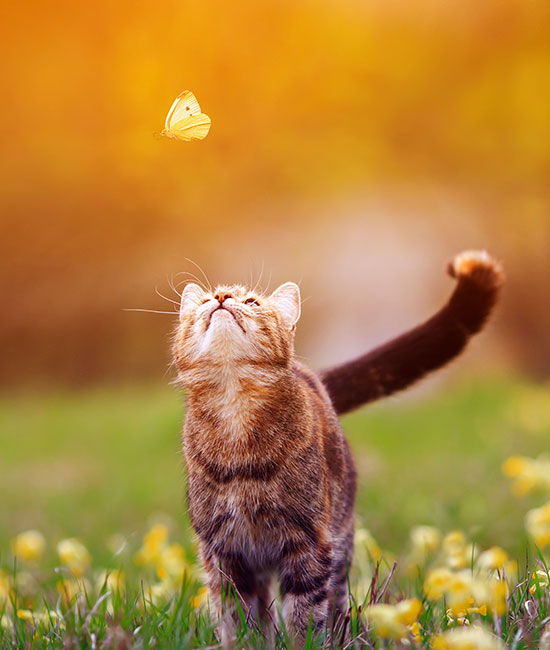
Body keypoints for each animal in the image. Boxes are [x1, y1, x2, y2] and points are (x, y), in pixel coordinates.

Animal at [171, 249, 504, 644]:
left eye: (252, 301)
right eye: (205, 300)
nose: (221, 298)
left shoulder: (309, 542)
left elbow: (304, 615)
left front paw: (306, 643)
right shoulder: (223, 551)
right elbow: (237, 620)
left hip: (340, 542)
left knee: (336, 601)